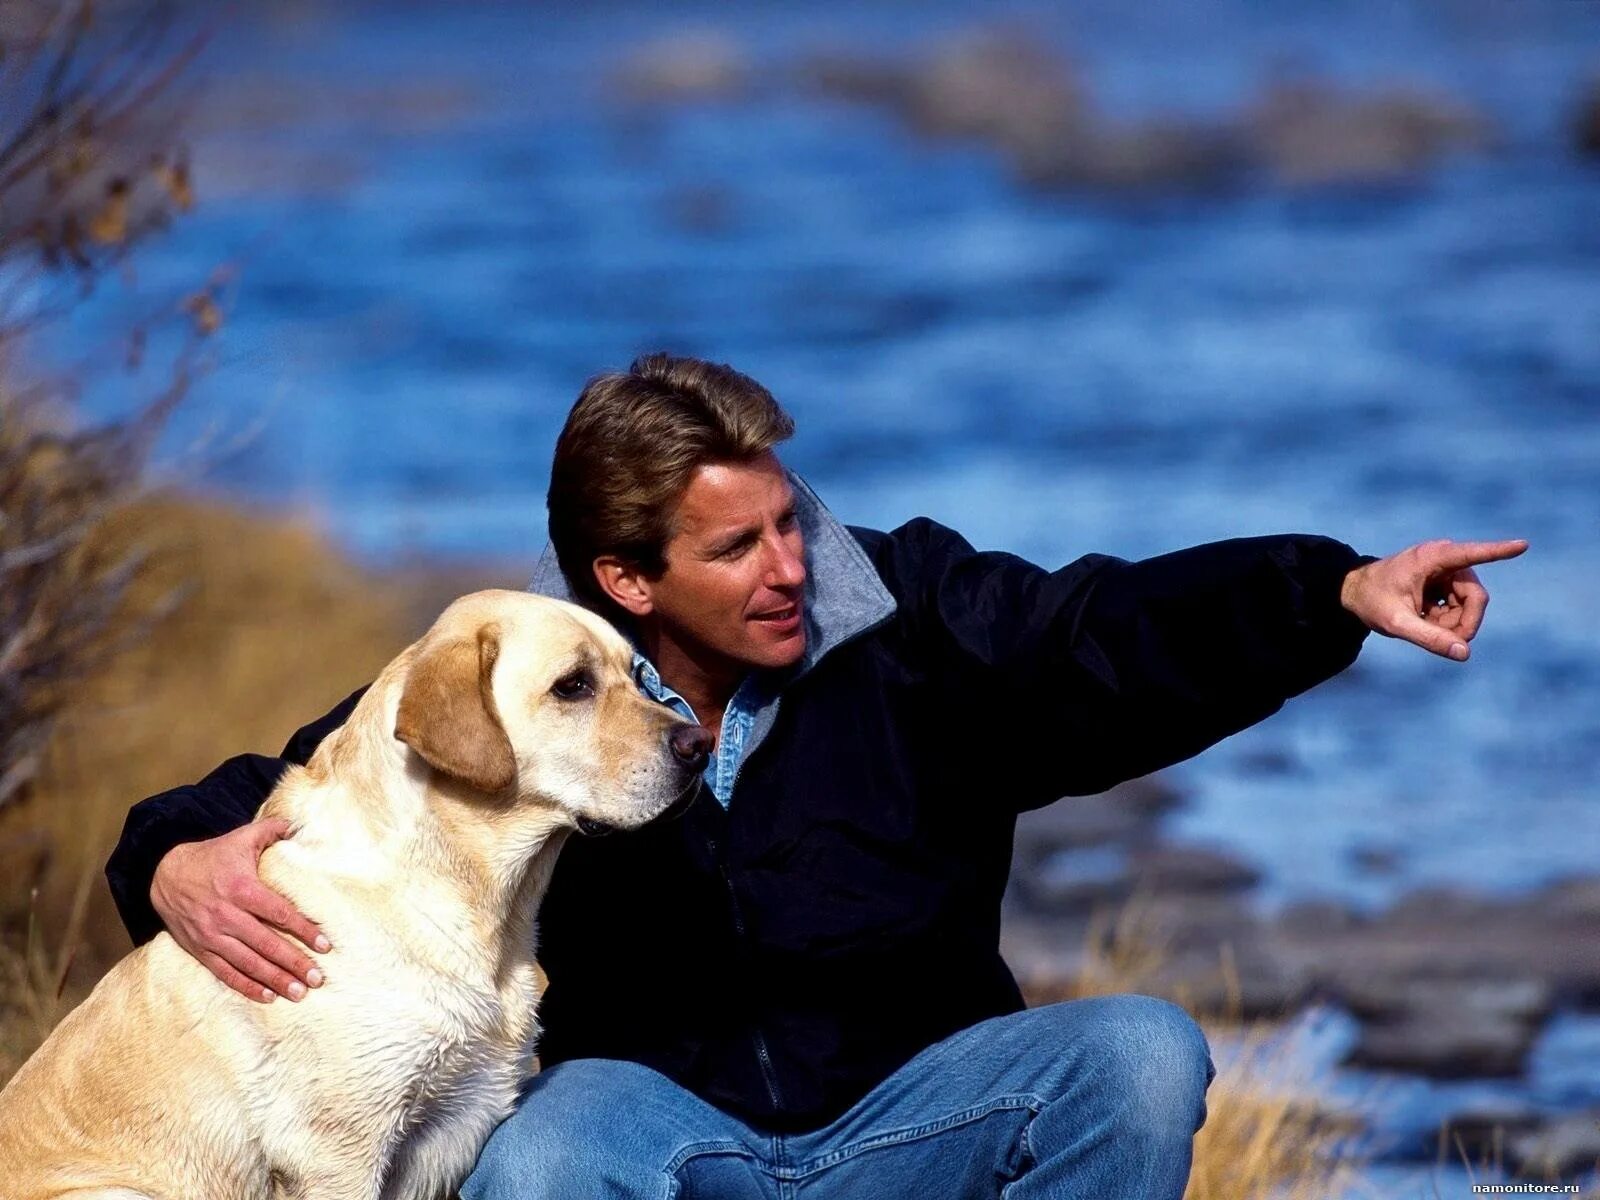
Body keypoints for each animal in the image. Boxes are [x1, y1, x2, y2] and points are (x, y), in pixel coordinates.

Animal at [0, 592, 713, 1200]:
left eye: (639, 675)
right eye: (573, 685)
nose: (700, 744)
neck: (473, 901)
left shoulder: (453, 1130)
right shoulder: (338, 1149)